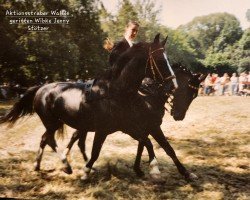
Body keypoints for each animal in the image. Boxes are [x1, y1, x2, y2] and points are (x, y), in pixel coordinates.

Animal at [60, 64, 205, 180]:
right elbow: (160, 147)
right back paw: (70, 162)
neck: (149, 98)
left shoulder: (146, 128)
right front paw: (154, 170)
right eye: (187, 91)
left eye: (195, 95)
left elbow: (152, 147)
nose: (179, 116)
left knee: (78, 139)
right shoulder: (148, 127)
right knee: (77, 138)